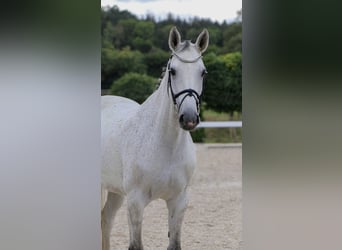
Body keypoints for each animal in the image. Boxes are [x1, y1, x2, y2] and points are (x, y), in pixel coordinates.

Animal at [100, 27, 210, 250]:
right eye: (173, 71)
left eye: (202, 72)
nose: (189, 118)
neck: (164, 144)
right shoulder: (135, 202)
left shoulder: (179, 201)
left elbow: (174, 244)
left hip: (116, 191)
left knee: (106, 220)